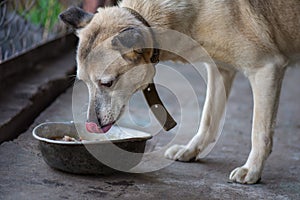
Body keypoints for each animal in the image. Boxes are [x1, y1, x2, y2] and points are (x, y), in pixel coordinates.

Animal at [59, 0, 300, 184]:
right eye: (84, 82)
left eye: (107, 83)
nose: (91, 125)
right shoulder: (220, 70)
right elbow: (208, 118)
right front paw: (192, 150)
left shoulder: (266, 69)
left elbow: (259, 132)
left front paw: (252, 170)